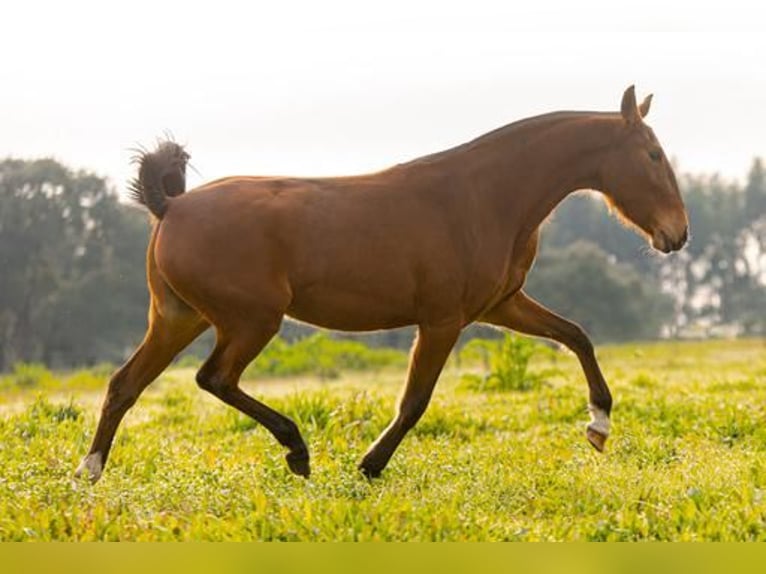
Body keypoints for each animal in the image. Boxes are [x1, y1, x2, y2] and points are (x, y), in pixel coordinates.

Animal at [76, 85, 688, 484]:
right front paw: (369, 465)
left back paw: (89, 472)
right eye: (654, 154)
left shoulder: (501, 306)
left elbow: (576, 335)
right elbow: (415, 400)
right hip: (250, 321)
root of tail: (170, 205)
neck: (485, 197)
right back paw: (297, 451)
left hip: (179, 318)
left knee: (125, 385)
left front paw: (599, 425)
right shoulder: (442, 320)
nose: (677, 234)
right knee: (213, 378)